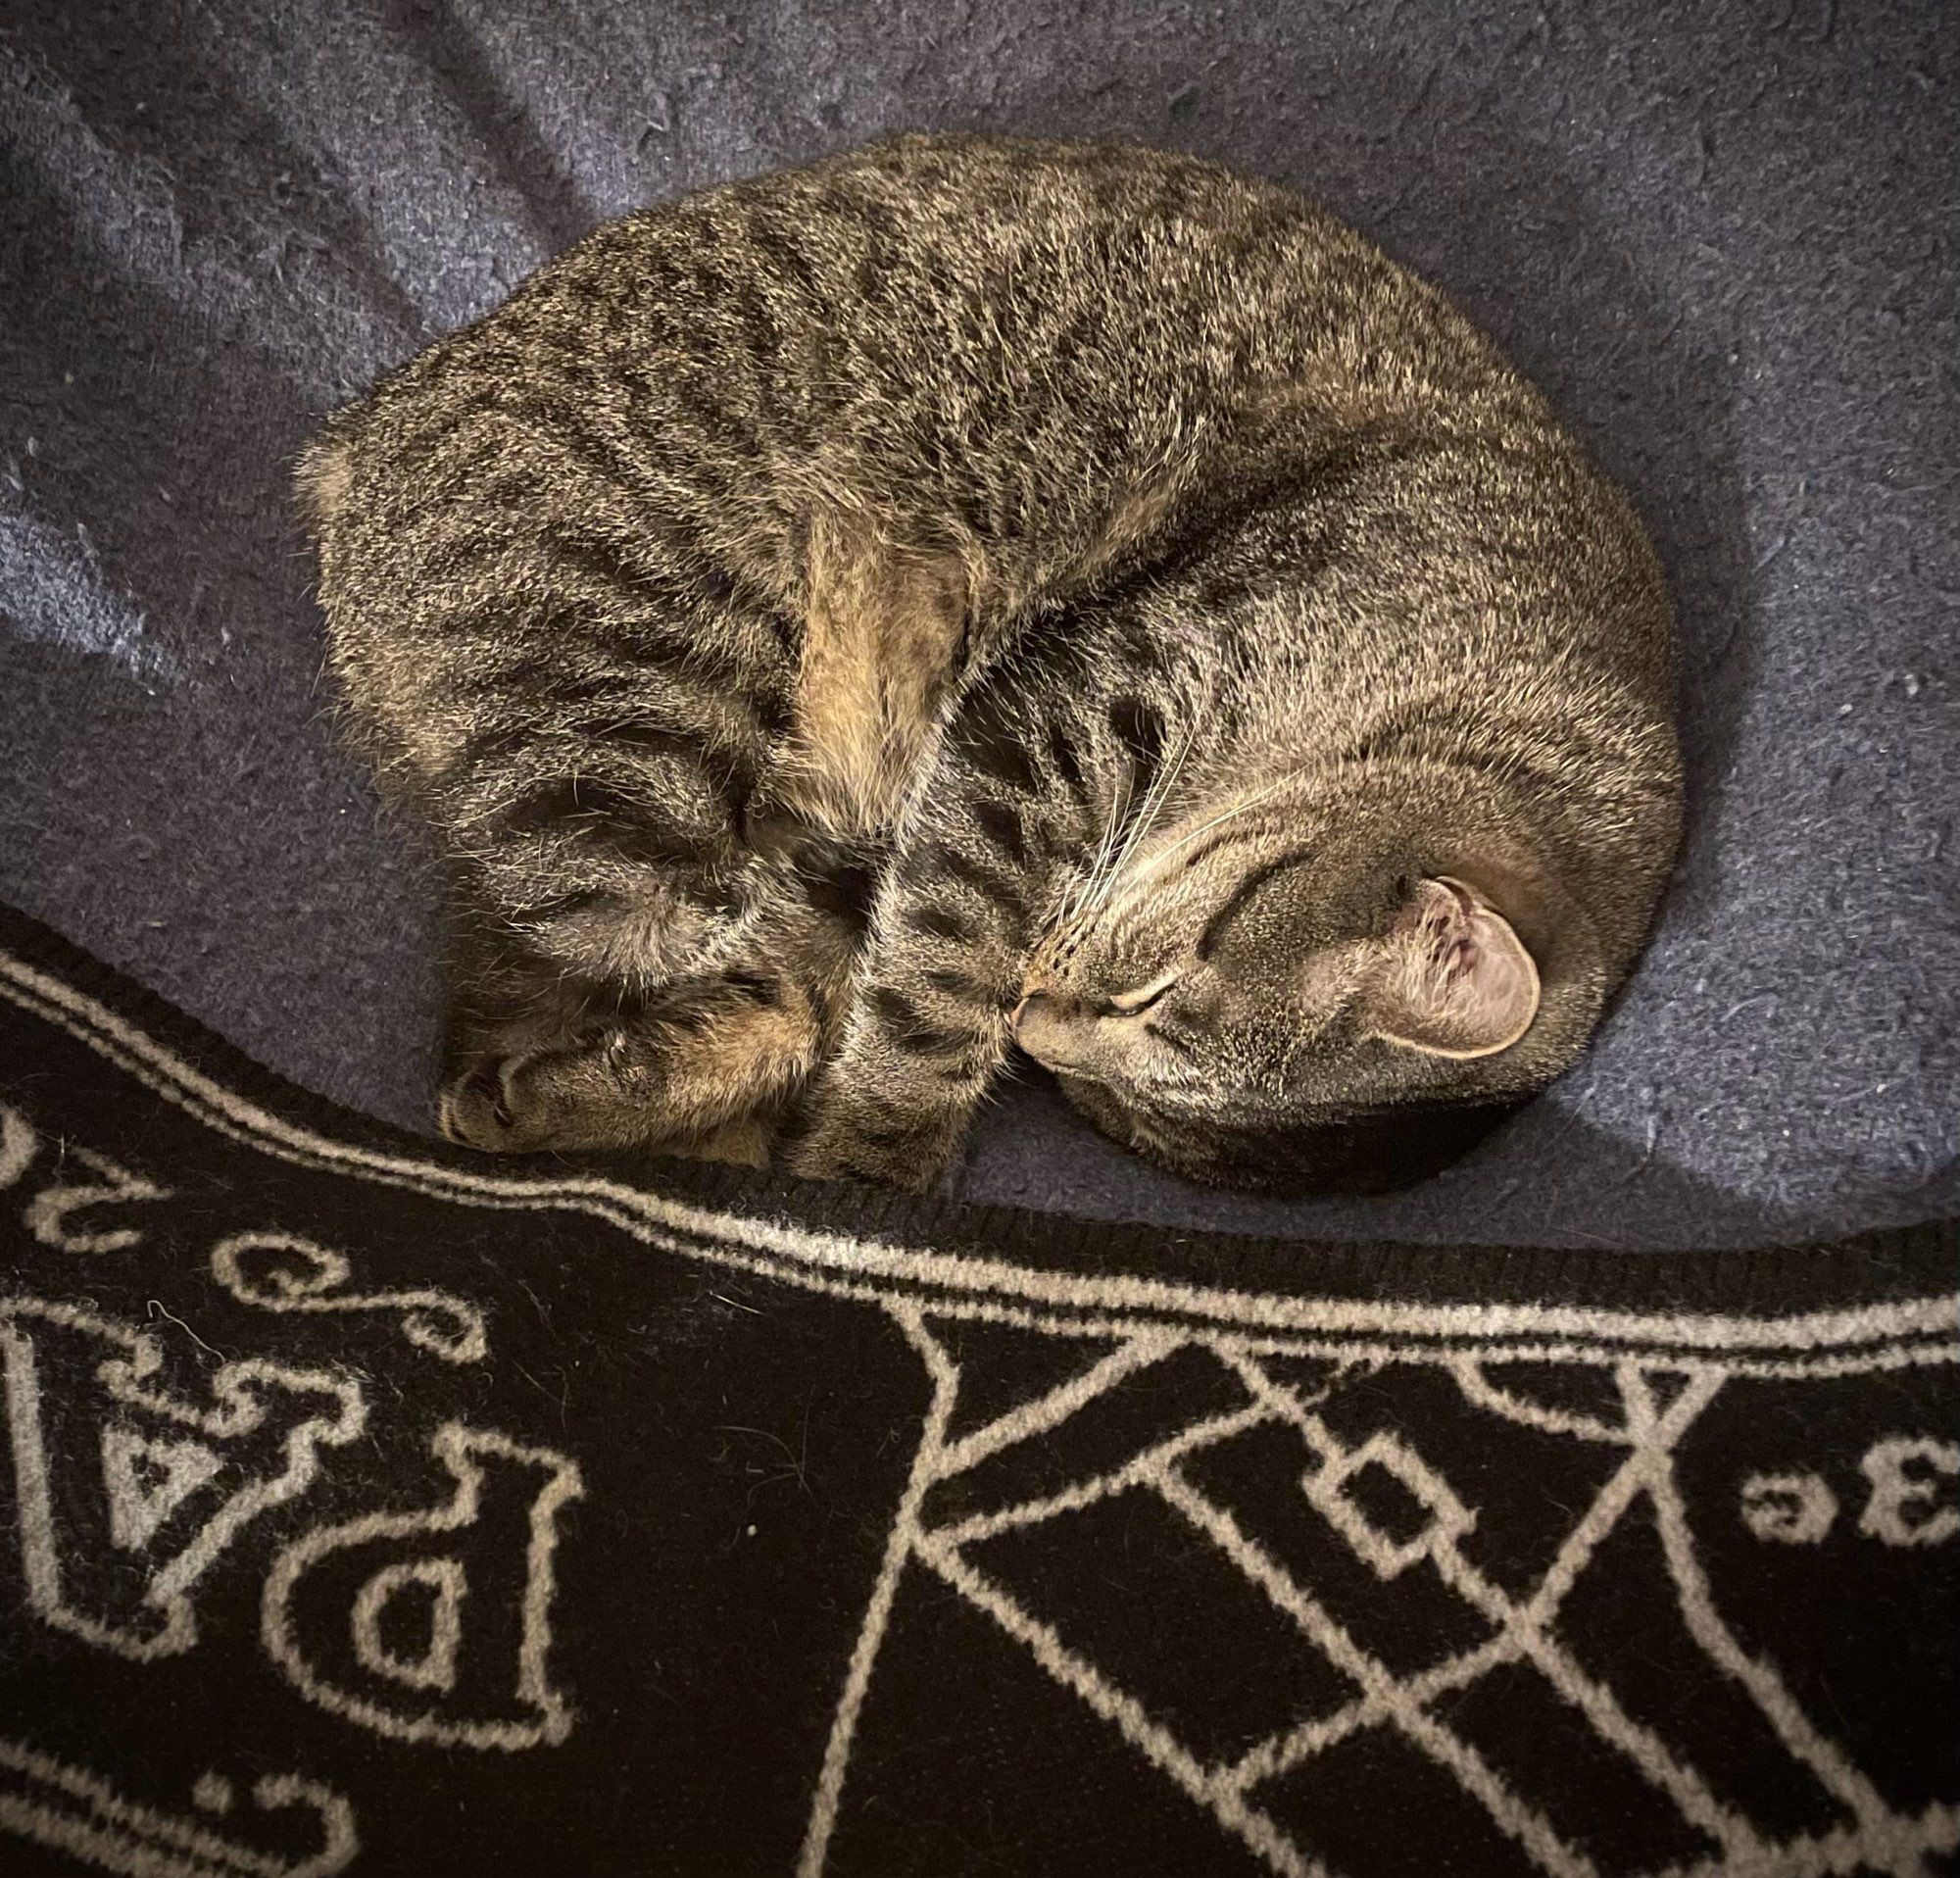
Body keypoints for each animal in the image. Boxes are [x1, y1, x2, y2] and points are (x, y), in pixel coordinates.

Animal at [298, 143, 1678, 1208]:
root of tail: (361, 434)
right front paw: (867, 1186)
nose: (1038, 1024)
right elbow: (918, 1010)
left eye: (1107, 1099)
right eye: (1158, 995)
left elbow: (850, 985)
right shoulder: (1061, 717)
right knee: (612, 932)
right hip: (643, 729)